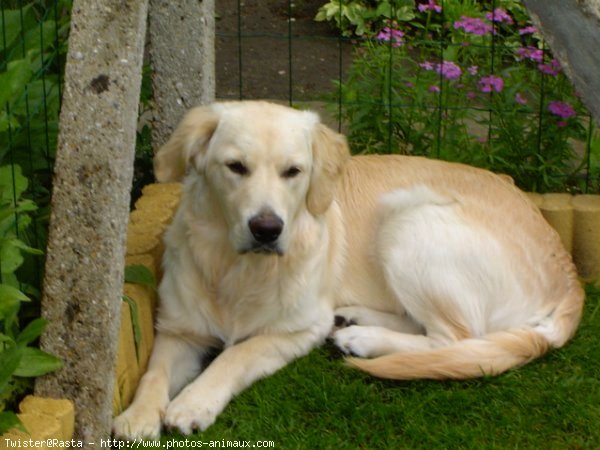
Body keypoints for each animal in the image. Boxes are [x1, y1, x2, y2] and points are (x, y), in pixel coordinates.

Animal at [111, 99, 580, 440]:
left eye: (293, 172)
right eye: (235, 167)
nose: (267, 229)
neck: (238, 268)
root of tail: (570, 275)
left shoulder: (297, 330)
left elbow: (234, 355)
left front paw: (193, 402)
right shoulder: (179, 329)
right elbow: (154, 372)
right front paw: (137, 416)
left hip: (409, 219)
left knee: (456, 339)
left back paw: (364, 338)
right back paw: (355, 320)